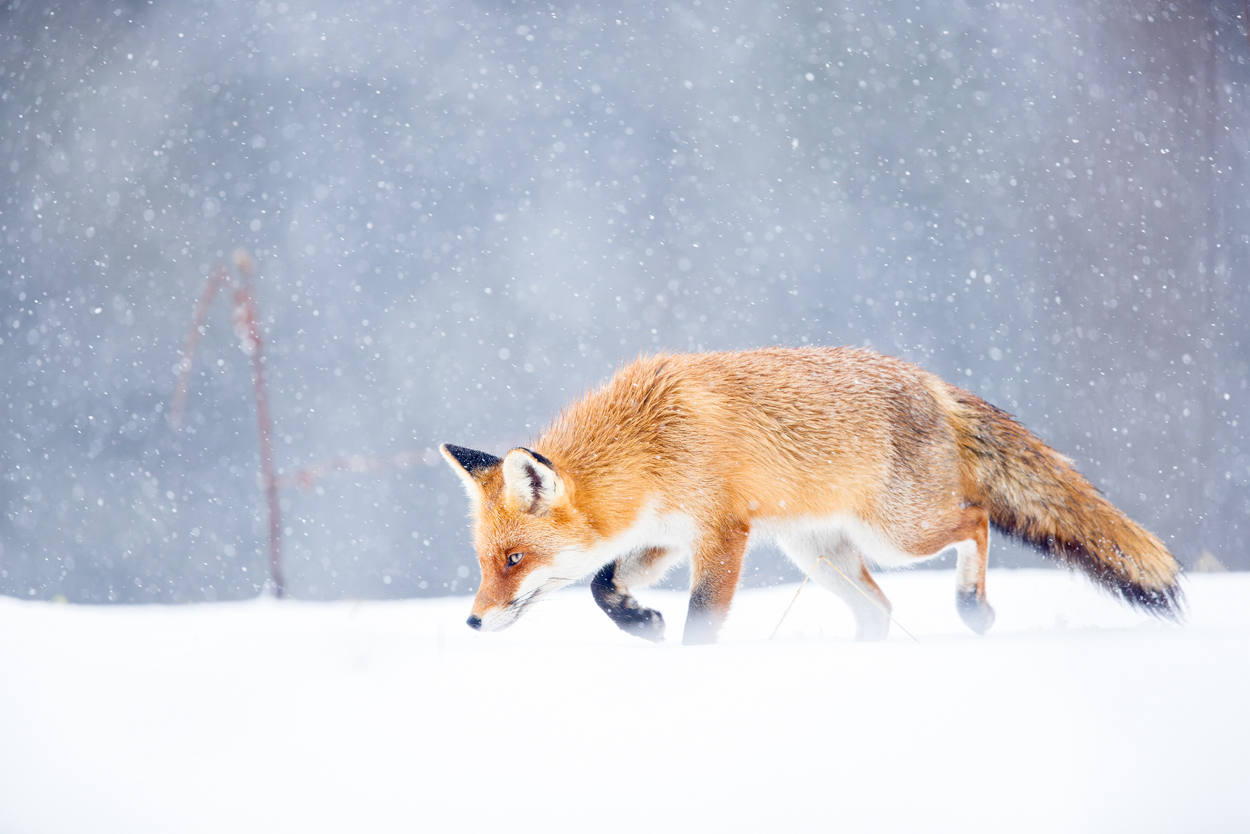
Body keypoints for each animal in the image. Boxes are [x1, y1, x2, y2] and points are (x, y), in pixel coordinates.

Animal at [445, 345, 1185, 645]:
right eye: (485, 562)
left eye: (513, 560)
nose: (473, 622)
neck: (649, 442)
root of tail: (931, 382)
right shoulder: (664, 535)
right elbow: (603, 584)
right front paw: (640, 621)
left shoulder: (722, 534)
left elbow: (702, 619)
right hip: (821, 557)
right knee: (880, 610)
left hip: (899, 535)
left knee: (974, 522)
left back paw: (972, 607)